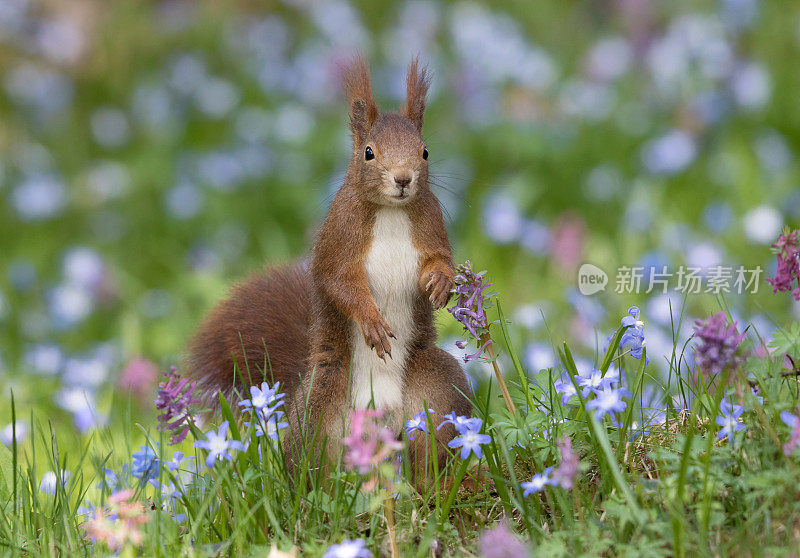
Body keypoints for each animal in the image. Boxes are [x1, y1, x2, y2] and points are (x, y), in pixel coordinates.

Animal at [186, 58, 476, 486]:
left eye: (424, 151)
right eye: (369, 153)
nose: (403, 179)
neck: (390, 212)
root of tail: (382, 420)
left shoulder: (432, 227)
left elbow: (439, 260)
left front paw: (439, 284)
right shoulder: (339, 241)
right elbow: (339, 284)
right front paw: (371, 320)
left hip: (437, 395)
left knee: (433, 447)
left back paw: (436, 484)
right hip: (319, 413)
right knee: (314, 465)